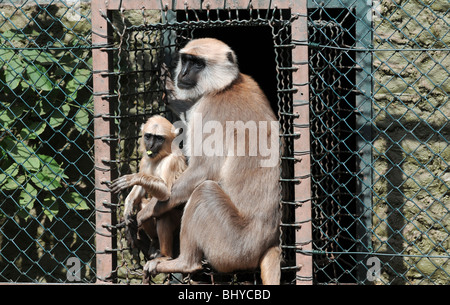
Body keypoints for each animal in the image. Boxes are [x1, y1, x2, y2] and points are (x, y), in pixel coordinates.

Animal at [110, 115, 185, 260]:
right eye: (149, 136)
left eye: (159, 138)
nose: (150, 145)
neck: (161, 156)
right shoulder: (145, 159)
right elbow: (141, 190)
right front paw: (127, 207)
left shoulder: (172, 161)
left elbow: (167, 194)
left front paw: (133, 177)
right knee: (142, 203)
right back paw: (154, 241)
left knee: (163, 214)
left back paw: (164, 255)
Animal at [139, 37, 284, 282]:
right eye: (186, 60)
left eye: (198, 64)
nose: (183, 73)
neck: (227, 86)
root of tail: (269, 243)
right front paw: (169, 87)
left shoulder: (211, 110)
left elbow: (204, 169)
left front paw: (150, 209)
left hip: (230, 246)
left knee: (203, 191)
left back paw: (183, 263)